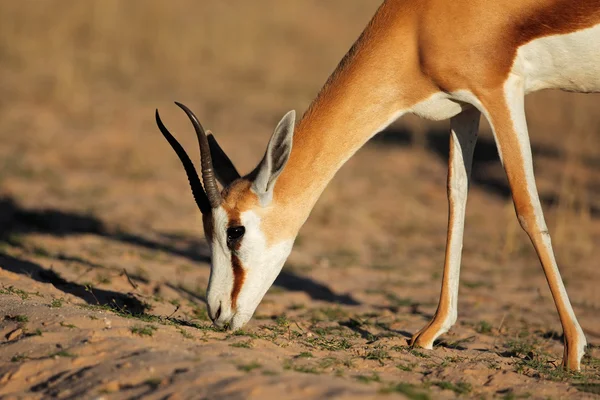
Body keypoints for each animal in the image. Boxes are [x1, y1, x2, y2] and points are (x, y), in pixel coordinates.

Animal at [156, 0, 600, 370]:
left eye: (235, 231)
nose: (216, 312)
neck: (419, 24)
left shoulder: (499, 93)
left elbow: (526, 209)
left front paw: (573, 352)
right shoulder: (465, 108)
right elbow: (456, 196)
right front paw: (430, 333)